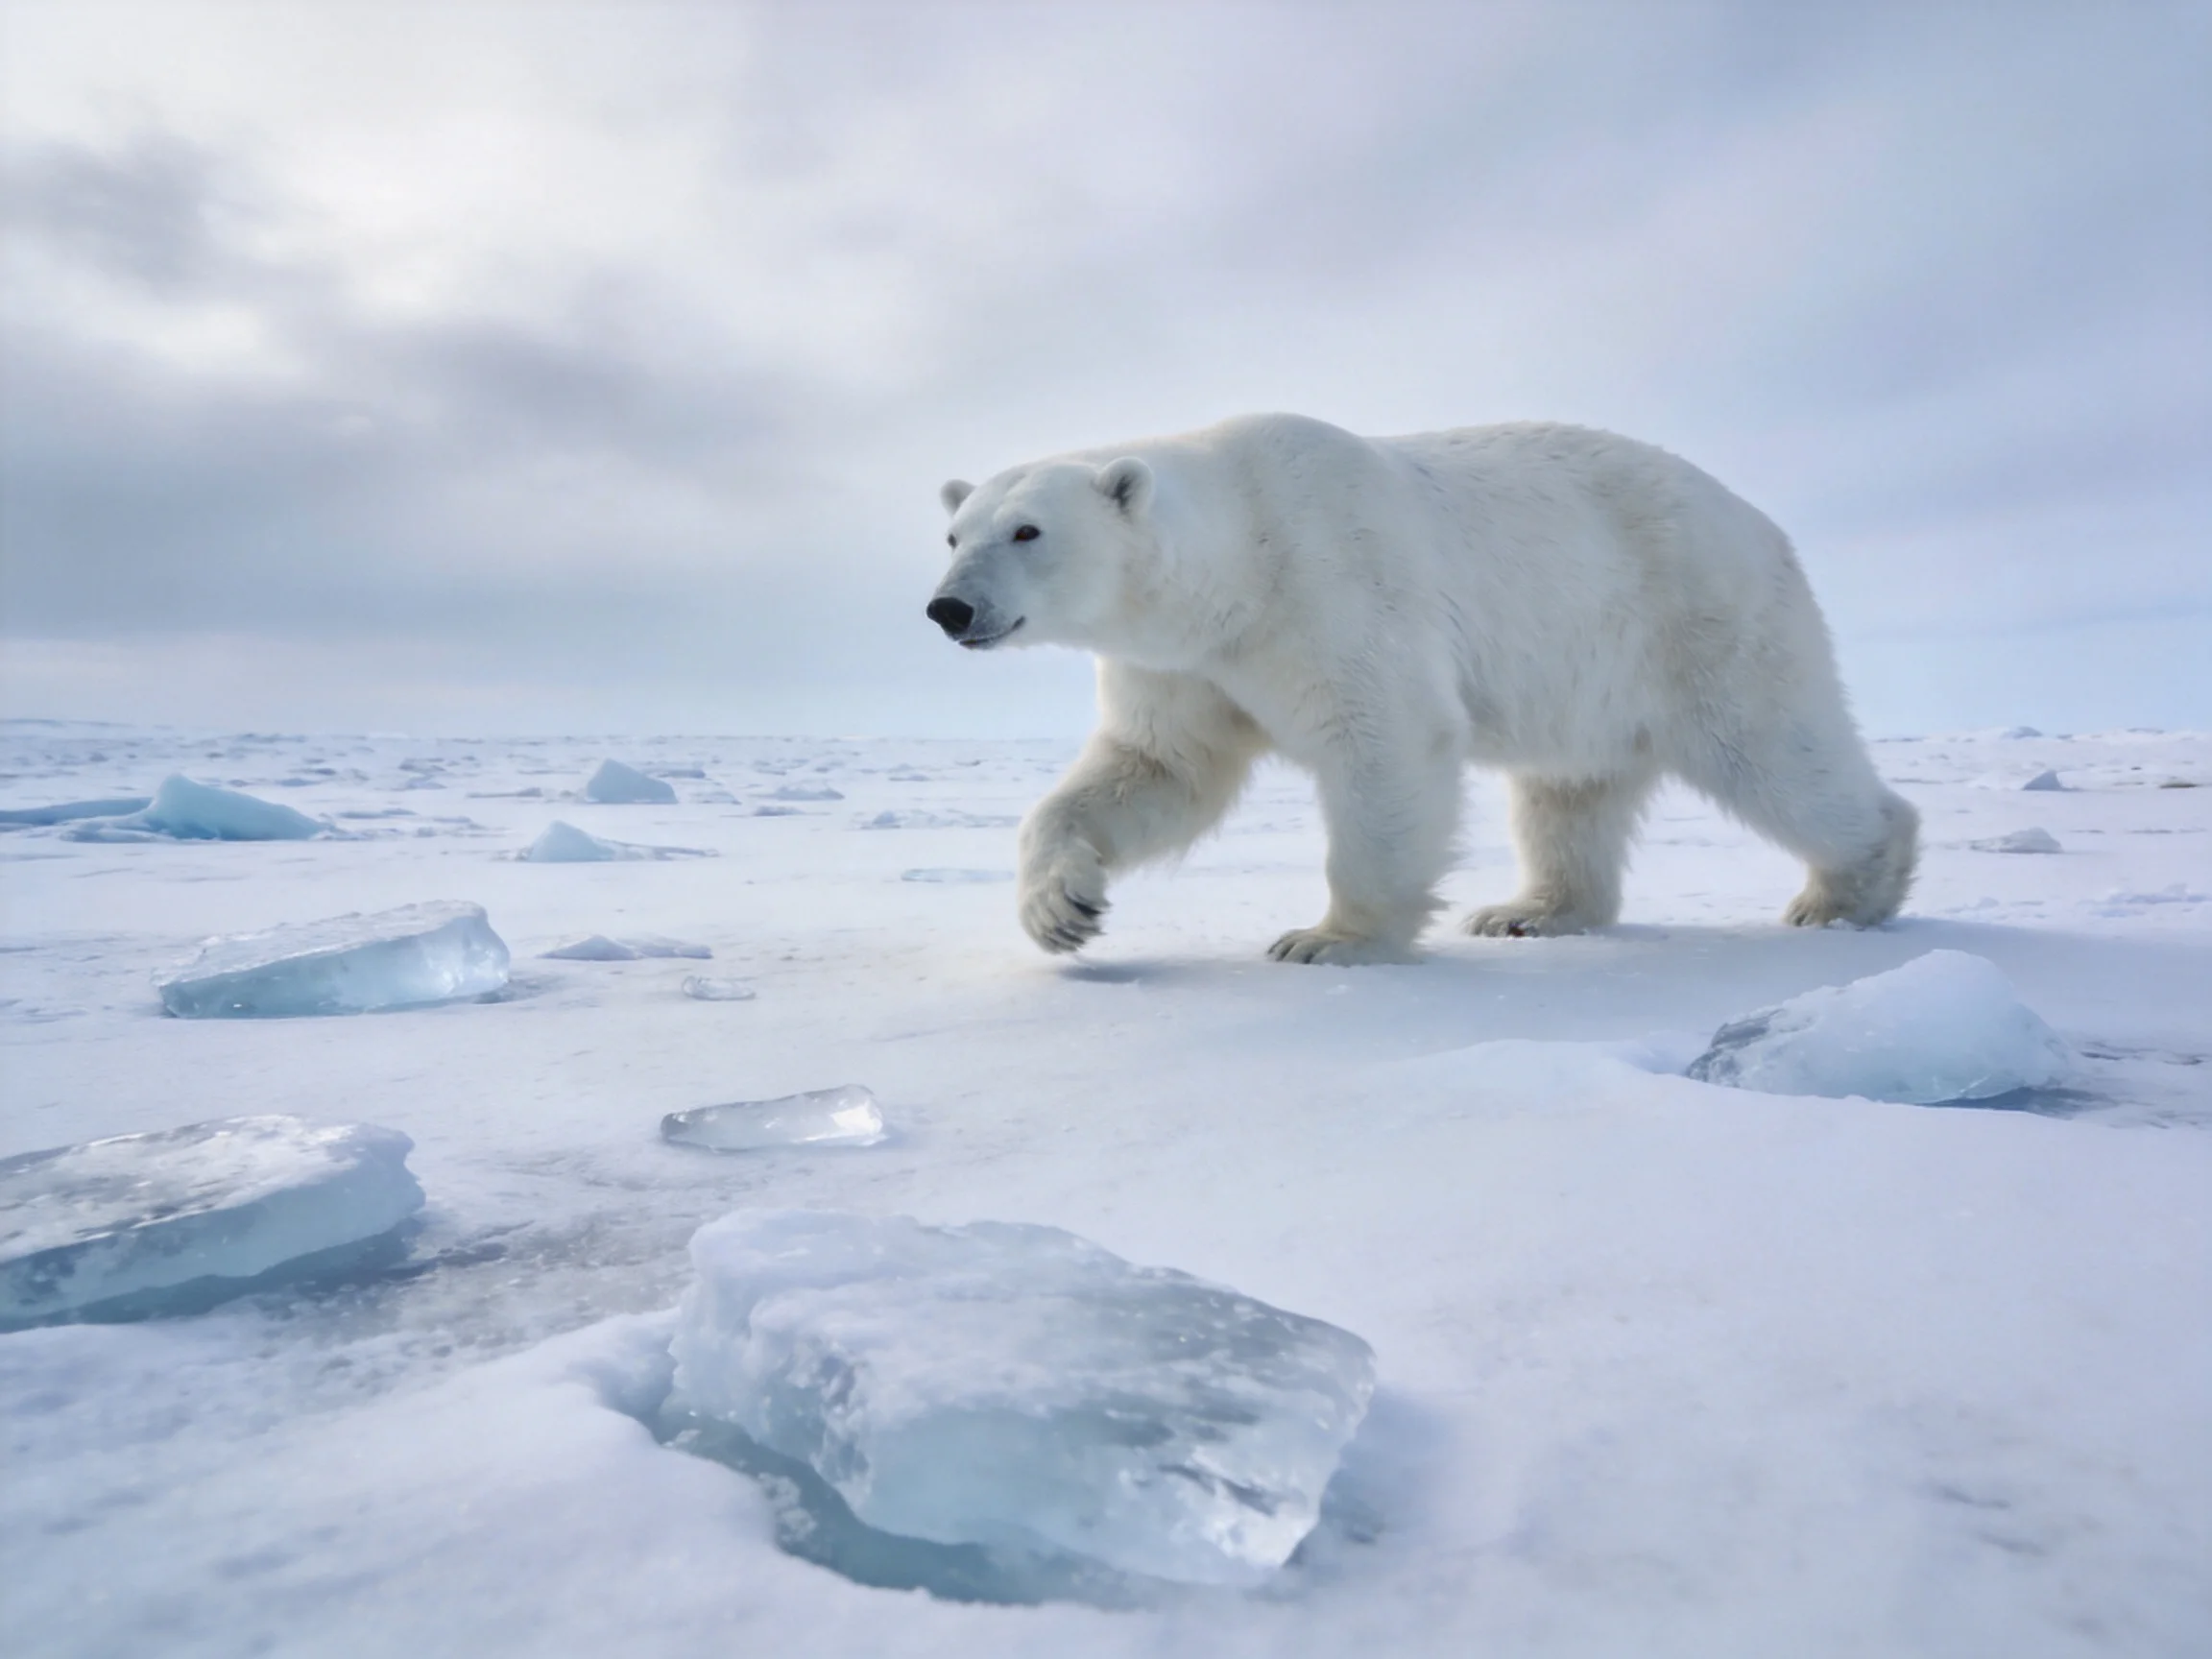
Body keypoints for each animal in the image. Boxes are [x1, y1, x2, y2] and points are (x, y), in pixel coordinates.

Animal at [926, 413, 1918, 965]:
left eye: (1028, 530)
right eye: (956, 532)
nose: (948, 607)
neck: (1235, 564)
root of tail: (1763, 524)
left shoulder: (1330, 584)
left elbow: (1383, 739)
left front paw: (1328, 940)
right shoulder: (1184, 665)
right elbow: (1158, 769)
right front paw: (1061, 910)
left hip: (1700, 619)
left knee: (1775, 752)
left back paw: (1845, 890)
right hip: (1588, 674)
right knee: (1568, 794)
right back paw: (1530, 911)